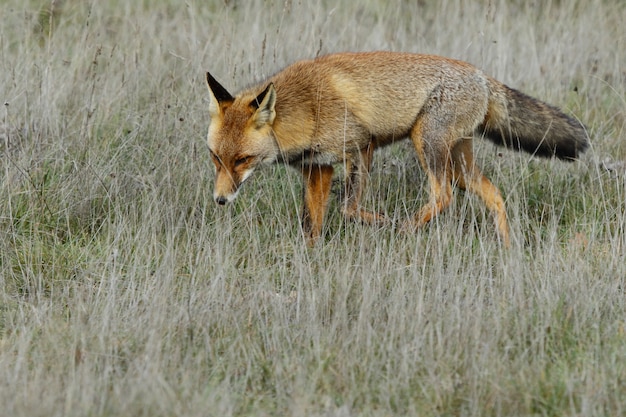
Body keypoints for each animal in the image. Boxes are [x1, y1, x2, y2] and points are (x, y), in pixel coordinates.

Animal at [204, 50, 584, 245]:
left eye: (243, 159)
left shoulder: (361, 146)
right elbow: (312, 221)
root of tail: (481, 75)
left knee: (443, 195)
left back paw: (407, 228)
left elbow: (348, 208)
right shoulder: (318, 167)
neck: (307, 106)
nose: (219, 200)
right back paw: (507, 248)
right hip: (458, 163)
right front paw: (310, 256)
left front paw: (382, 223)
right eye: (216, 158)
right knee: (493, 194)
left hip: (427, 144)